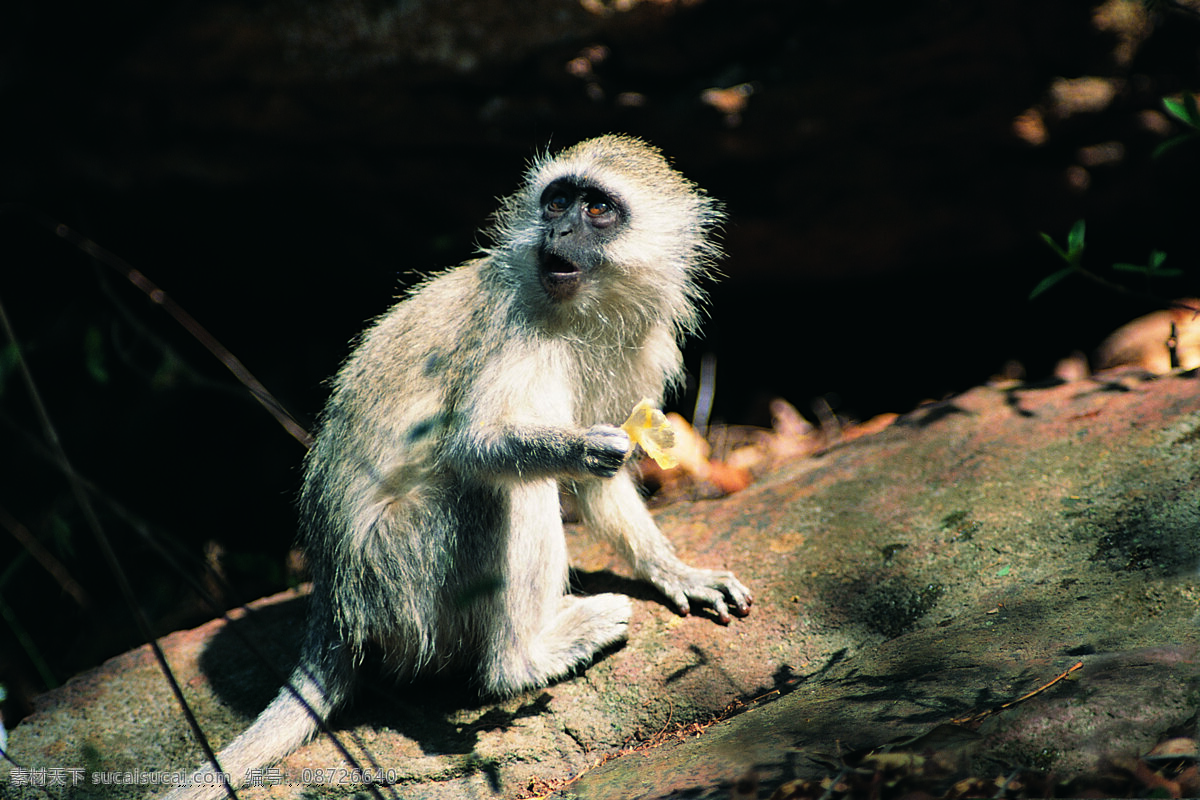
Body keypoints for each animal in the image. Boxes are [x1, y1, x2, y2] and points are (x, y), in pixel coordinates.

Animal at [162, 134, 748, 796]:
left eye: (597, 208)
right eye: (558, 200)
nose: (558, 230)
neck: (581, 313)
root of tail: (336, 607)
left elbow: (602, 486)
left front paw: (675, 571)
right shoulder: (512, 327)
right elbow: (475, 446)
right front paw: (580, 448)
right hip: (401, 575)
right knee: (505, 491)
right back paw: (522, 661)